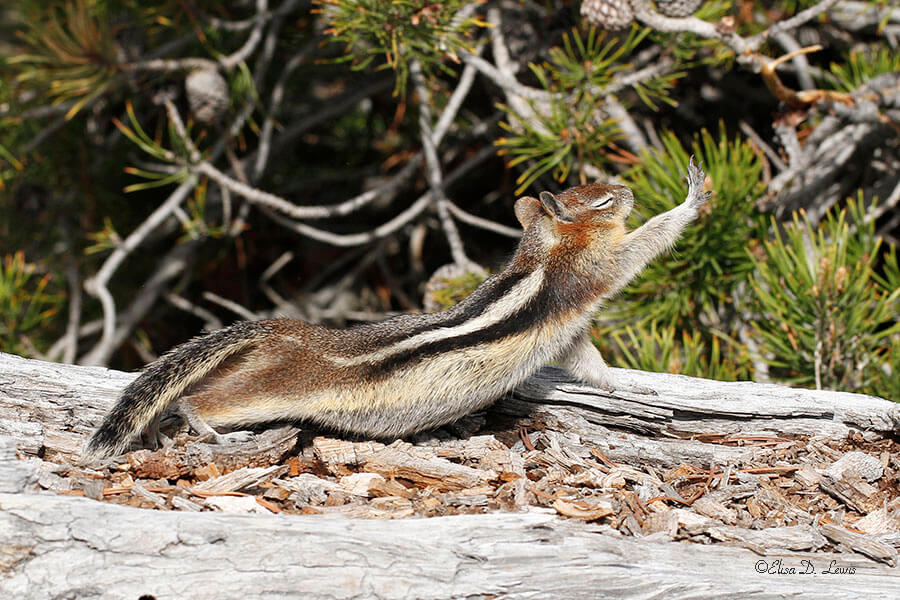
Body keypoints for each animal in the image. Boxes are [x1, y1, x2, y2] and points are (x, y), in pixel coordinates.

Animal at [88, 159, 712, 460]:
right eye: (601, 199)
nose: (627, 188)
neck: (541, 248)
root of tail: (279, 330)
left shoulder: (573, 331)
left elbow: (591, 365)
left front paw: (628, 388)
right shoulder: (596, 270)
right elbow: (643, 245)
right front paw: (689, 199)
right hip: (270, 388)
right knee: (200, 399)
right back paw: (203, 428)